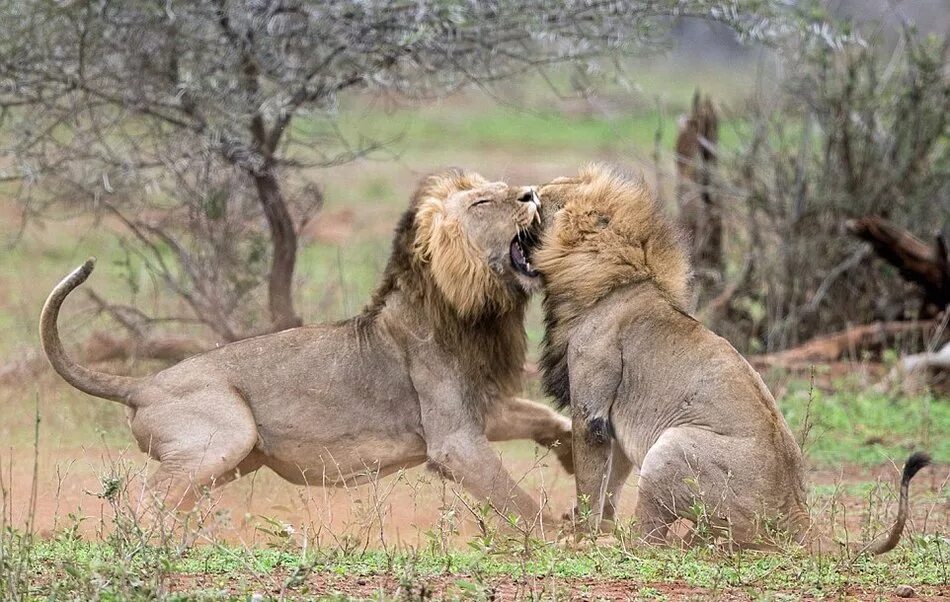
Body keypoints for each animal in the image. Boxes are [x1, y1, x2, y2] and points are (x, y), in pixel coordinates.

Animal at [39, 170, 572, 524]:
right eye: (482, 204)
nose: (531, 192)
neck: (474, 311)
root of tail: (143, 384)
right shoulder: (453, 441)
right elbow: (516, 499)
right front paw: (568, 536)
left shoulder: (483, 409)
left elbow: (542, 417)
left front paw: (569, 452)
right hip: (225, 435)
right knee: (145, 495)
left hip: (231, 458)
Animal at [532, 164, 932, 552]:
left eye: (545, 199)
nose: (529, 192)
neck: (609, 279)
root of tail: (795, 512)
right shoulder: (611, 423)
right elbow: (610, 485)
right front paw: (599, 529)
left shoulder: (592, 414)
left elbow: (590, 485)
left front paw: (581, 539)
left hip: (671, 446)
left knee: (651, 542)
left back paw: (620, 545)